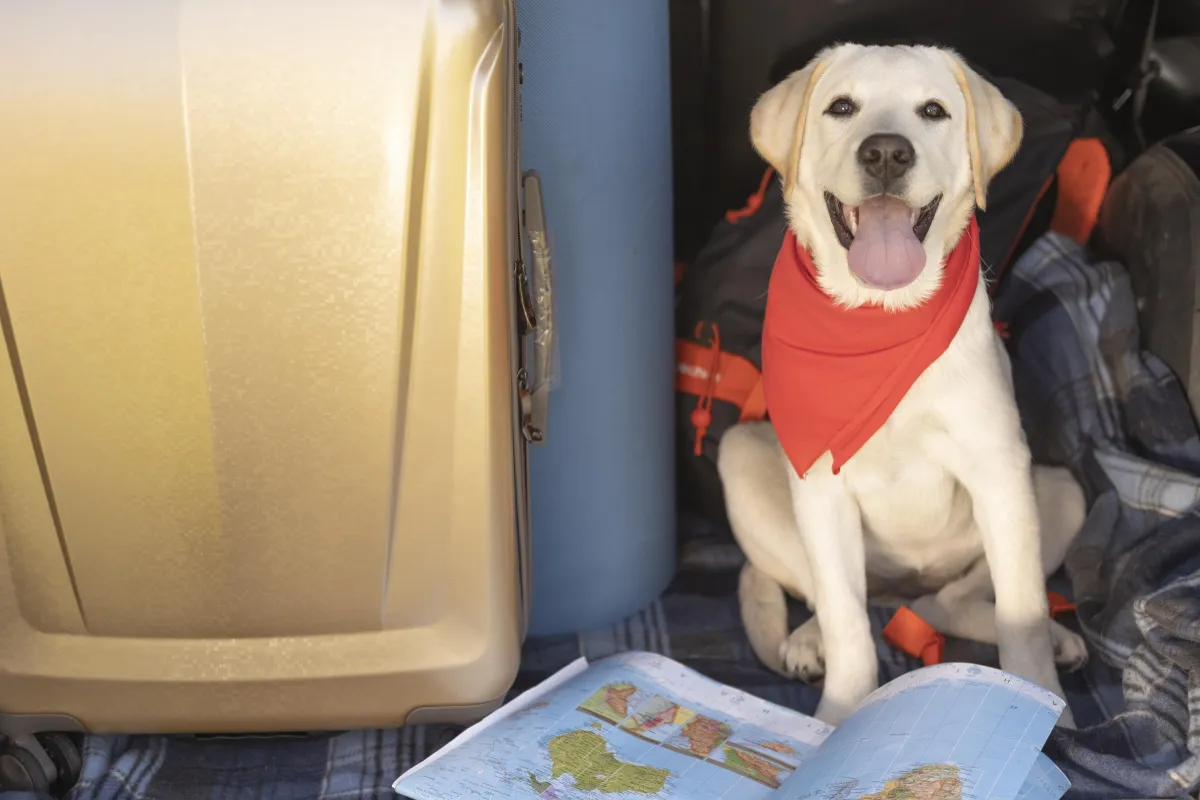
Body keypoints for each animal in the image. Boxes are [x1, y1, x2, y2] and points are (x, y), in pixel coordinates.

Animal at [720, 45, 1089, 734]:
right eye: (842, 107)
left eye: (933, 111)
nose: (887, 153)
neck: (880, 316)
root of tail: (904, 591)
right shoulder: (821, 485)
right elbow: (845, 621)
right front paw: (836, 721)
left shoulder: (1000, 471)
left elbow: (1021, 614)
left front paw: (1041, 705)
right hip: (743, 457)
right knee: (841, 601)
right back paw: (806, 640)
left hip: (1058, 493)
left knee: (953, 603)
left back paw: (1052, 640)